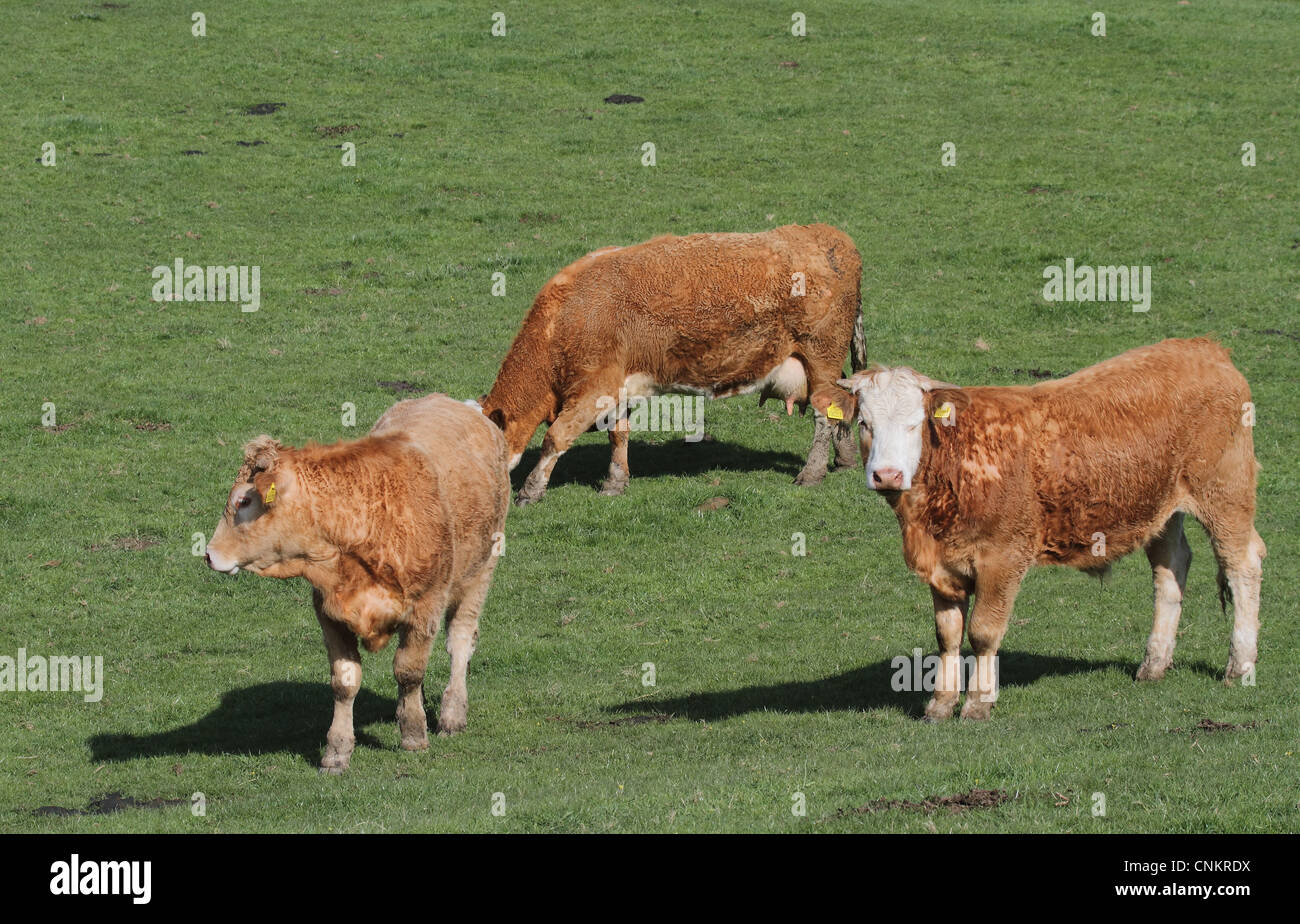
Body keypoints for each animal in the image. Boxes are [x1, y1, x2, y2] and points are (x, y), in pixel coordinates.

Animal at [205, 394, 510, 772]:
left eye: (244, 500)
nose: (209, 553)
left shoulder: (425, 606)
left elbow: (409, 671)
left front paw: (414, 735)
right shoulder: (328, 613)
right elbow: (345, 680)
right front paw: (337, 750)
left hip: (480, 571)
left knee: (461, 641)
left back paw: (452, 713)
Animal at [480, 223, 867, 505]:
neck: (565, 319)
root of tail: (830, 235)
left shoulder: (593, 389)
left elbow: (555, 437)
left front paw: (530, 490)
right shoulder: (616, 388)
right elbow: (618, 435)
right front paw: (615, 482)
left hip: (821, 355)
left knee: (826, 411)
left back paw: (812, 473)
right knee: (844, 402)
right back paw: (845, 458)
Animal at [811, 337, 1265, 720]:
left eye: (914, 423)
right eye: (865, 423)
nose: (887, 475)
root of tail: (1204, 347)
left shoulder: (1003, 557)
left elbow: (983, 631)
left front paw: (978, 703)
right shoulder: (942, 567)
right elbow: (948, 635)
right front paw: (940, 704)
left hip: (1225, 494)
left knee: (1243, 565)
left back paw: (1239, 666)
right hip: (1161, 508)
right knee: (1171, 568)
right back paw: (1154, 664)